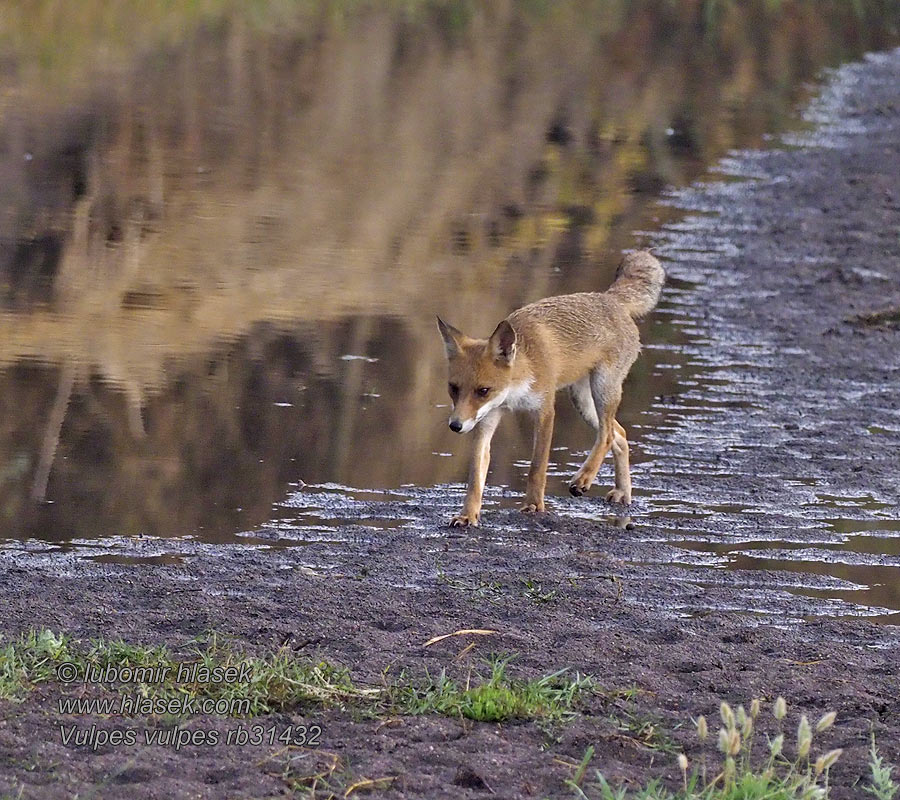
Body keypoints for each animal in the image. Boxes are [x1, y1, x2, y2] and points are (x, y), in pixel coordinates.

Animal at [440, 250, 664, 524]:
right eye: (453, 388)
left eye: (483, 390)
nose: (455, 426)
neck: (515, 392)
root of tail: (609, 297)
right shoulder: (487, 418)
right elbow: (475, 477)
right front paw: (468, 515)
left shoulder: (544, 410)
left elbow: (537, 467)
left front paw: (534, 505)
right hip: (583, 401)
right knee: (619, 435)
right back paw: (623, 491)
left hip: (603, 389)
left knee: (607, 435)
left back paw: (583, 478)